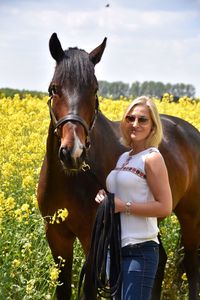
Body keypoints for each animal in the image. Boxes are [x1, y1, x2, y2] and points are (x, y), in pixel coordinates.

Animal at [37, 31, 200, 298]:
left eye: (94, 90)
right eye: (54, 88)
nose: (74, 153)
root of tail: (189, 131)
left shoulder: (92, 237)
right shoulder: (56, 236)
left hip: (191, 215)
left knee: (191, 263)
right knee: (160, 259)